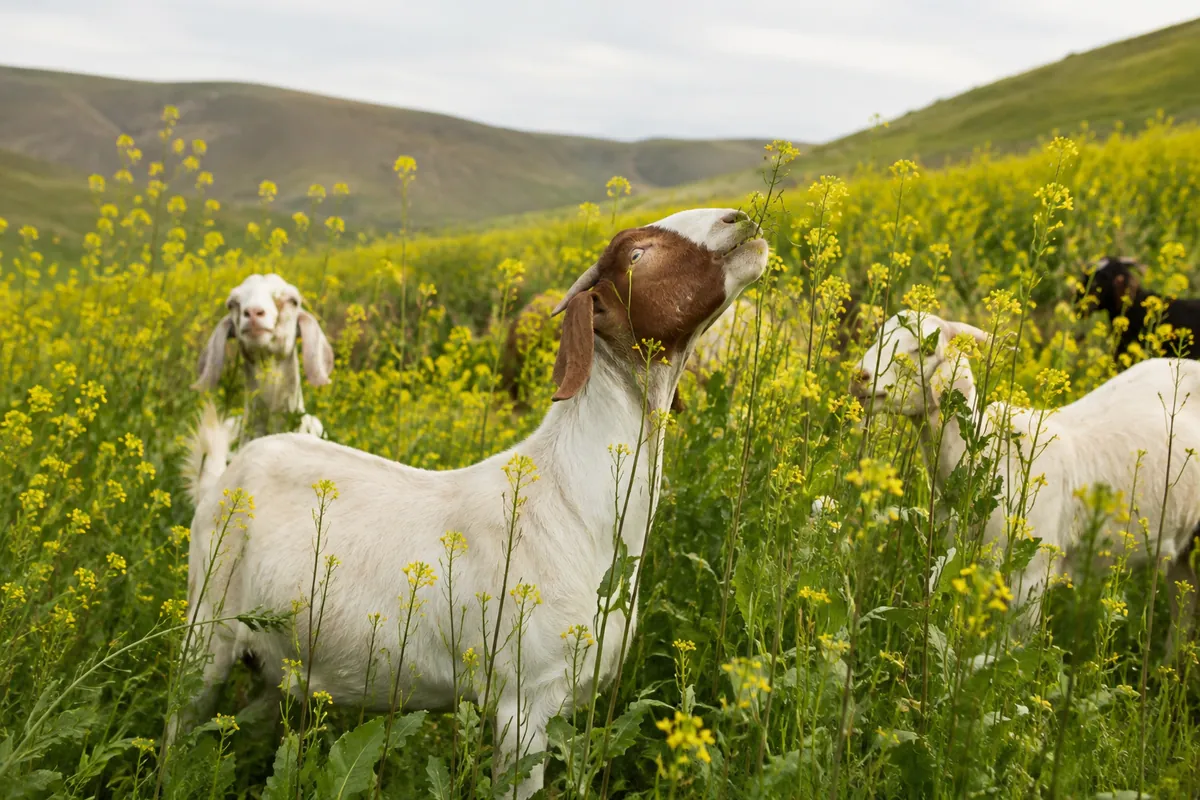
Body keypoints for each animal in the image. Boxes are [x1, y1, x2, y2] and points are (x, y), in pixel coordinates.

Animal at [178, 208, 769, 798]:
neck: (574, 502)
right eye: (638, 254)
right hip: (204, 630)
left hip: (271, 661)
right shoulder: (522, 703)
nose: (739, 219)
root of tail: (225, 477)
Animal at [853, 312, 1200, 649]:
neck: (986, 454)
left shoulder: (1029, 577)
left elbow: (1008, 651)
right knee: (1185, 603)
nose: (860, 377)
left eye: (925, 349)